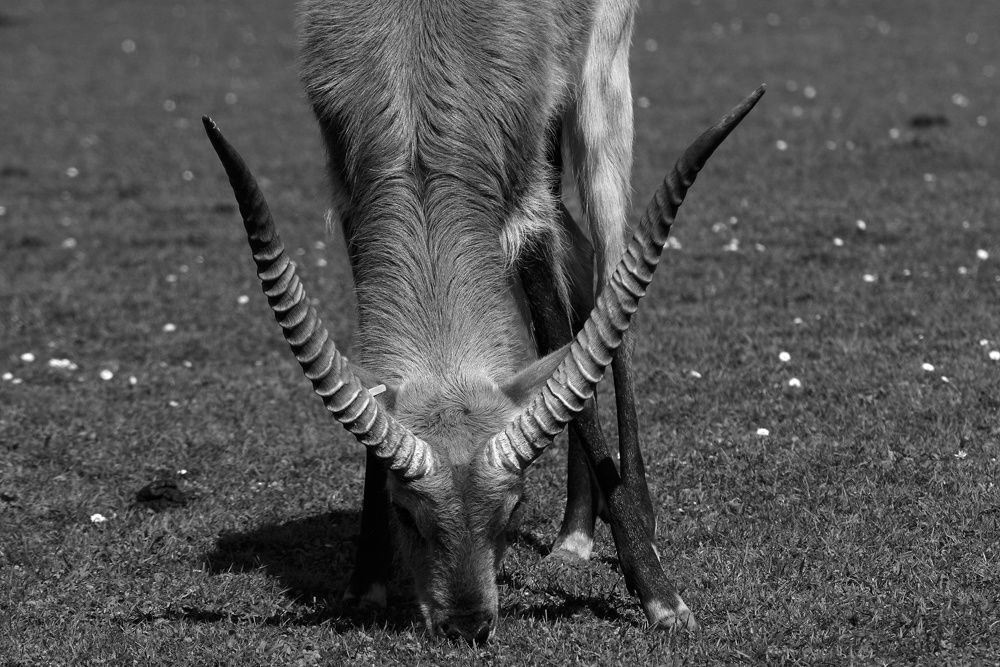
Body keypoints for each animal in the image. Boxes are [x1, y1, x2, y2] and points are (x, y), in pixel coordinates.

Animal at [207, 0, 760, 648]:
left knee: (605, 269)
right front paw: (365, 583)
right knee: (577, 274)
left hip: (596, 102)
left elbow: (563, 335)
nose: (467, 625)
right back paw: (575, 532)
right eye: (405, 512)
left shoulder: (524, 193)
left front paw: (660, 598)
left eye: (513, 507)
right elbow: (375, 379)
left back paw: (621, 522)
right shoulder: (353, 203)